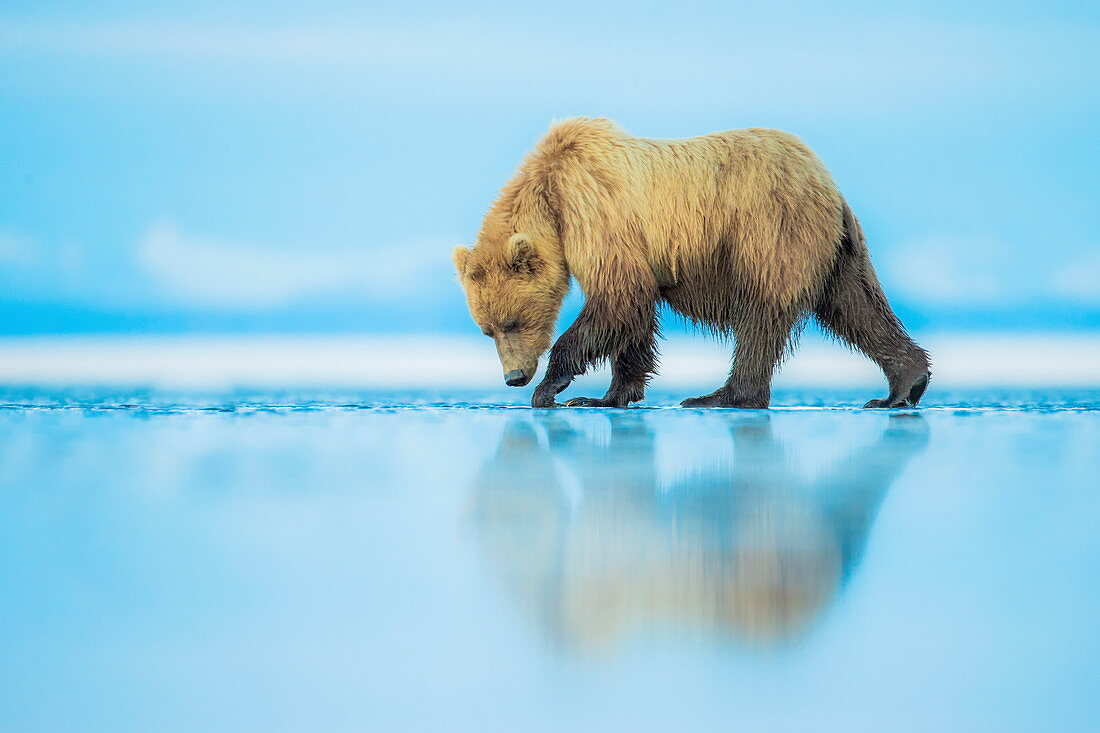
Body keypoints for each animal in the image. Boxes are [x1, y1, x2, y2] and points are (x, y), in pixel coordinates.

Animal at [453, 117, 928, 407]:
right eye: (487, 329)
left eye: (513, 322)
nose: (514, 377)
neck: (551, 197)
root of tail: (827, 180)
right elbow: (634, 316)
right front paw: (608, 394)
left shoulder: (596, 213)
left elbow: (618, 299)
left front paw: (553, 388)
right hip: (835, 248)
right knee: (856, 306)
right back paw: (904, 384)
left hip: (768, 230)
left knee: (761, 317)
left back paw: (724, 395)